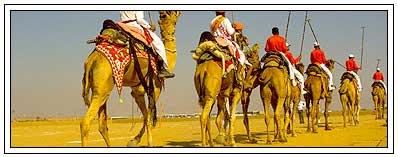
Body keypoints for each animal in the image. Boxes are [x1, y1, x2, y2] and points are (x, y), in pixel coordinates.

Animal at [80, 11, 181, 147]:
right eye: (168, 15)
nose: (178, 13)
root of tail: (91, 61)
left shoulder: (137, 91)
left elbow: (145, 117)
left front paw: (134, 141)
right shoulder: (155, 87)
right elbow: (149, 117)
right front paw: (142, 142)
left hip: (100, 89)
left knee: (102, 124)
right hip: (103, 88)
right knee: (86, 122)